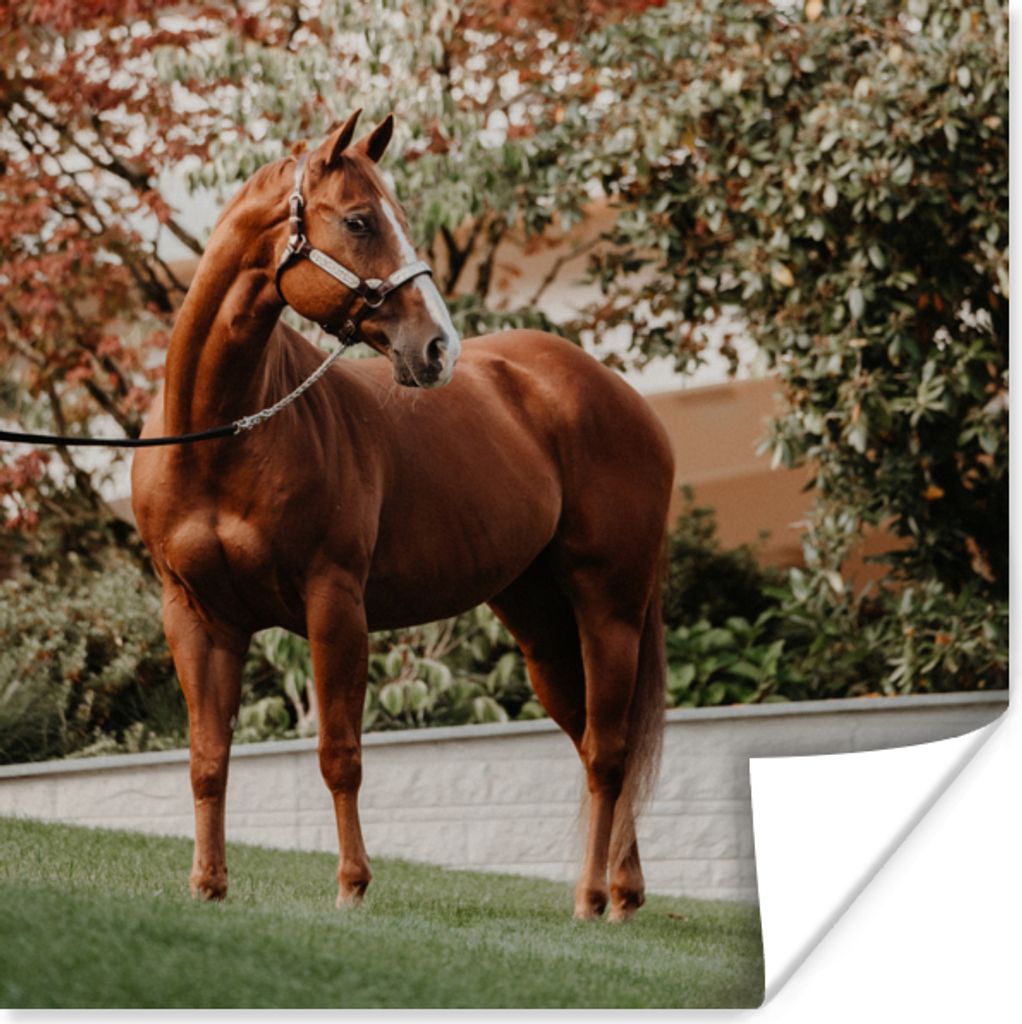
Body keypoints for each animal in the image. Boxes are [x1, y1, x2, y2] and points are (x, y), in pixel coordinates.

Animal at [131, 110, 674, 922]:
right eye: (359, 220)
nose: (437, 347)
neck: (219, 437)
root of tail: (622, 397)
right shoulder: (196, 616)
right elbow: (207, 760)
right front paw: (208, 885)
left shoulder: (334, 604)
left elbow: (340, 754)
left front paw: (353, 886)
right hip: (541, 625)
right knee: (591, 739)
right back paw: (624, 893)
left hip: (609, 608)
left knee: (609, 752)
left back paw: (589, 899)